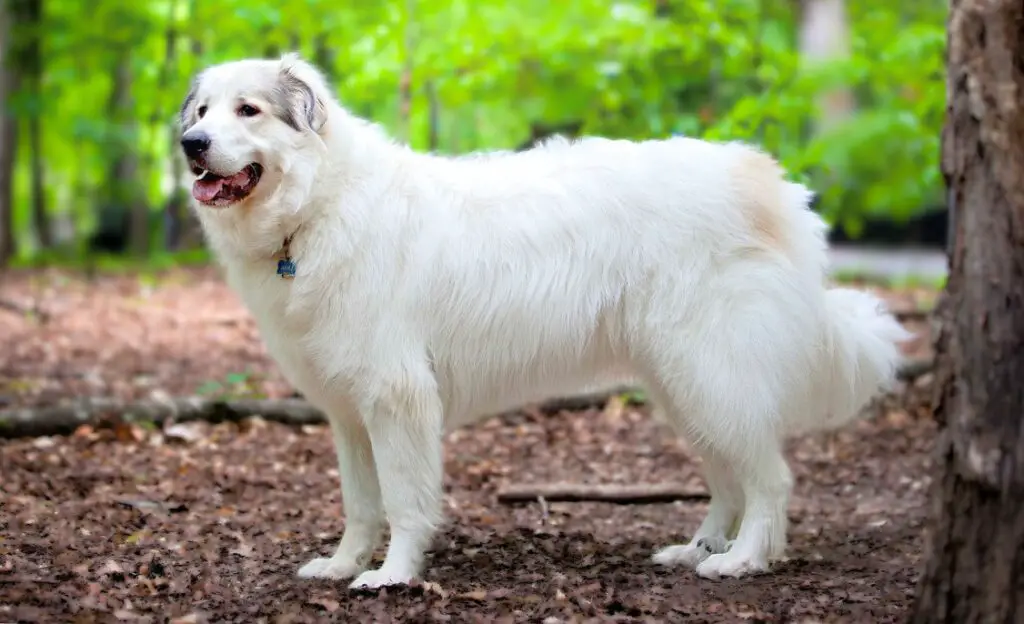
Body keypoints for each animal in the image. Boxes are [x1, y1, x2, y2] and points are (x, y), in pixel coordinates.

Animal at [180, 54, 909, 590]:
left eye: (248, 110)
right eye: (203, 110)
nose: (190, 143)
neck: (317, 208)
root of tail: (770, 182)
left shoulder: (397, 399)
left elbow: (404, 501)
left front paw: (393, 576)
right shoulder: (349, 414)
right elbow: (361, 505)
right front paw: (341, 565)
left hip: (712, 373)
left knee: (770, 479)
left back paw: (742, 559)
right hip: (684, 386)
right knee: (729, 476)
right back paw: (699, 549)